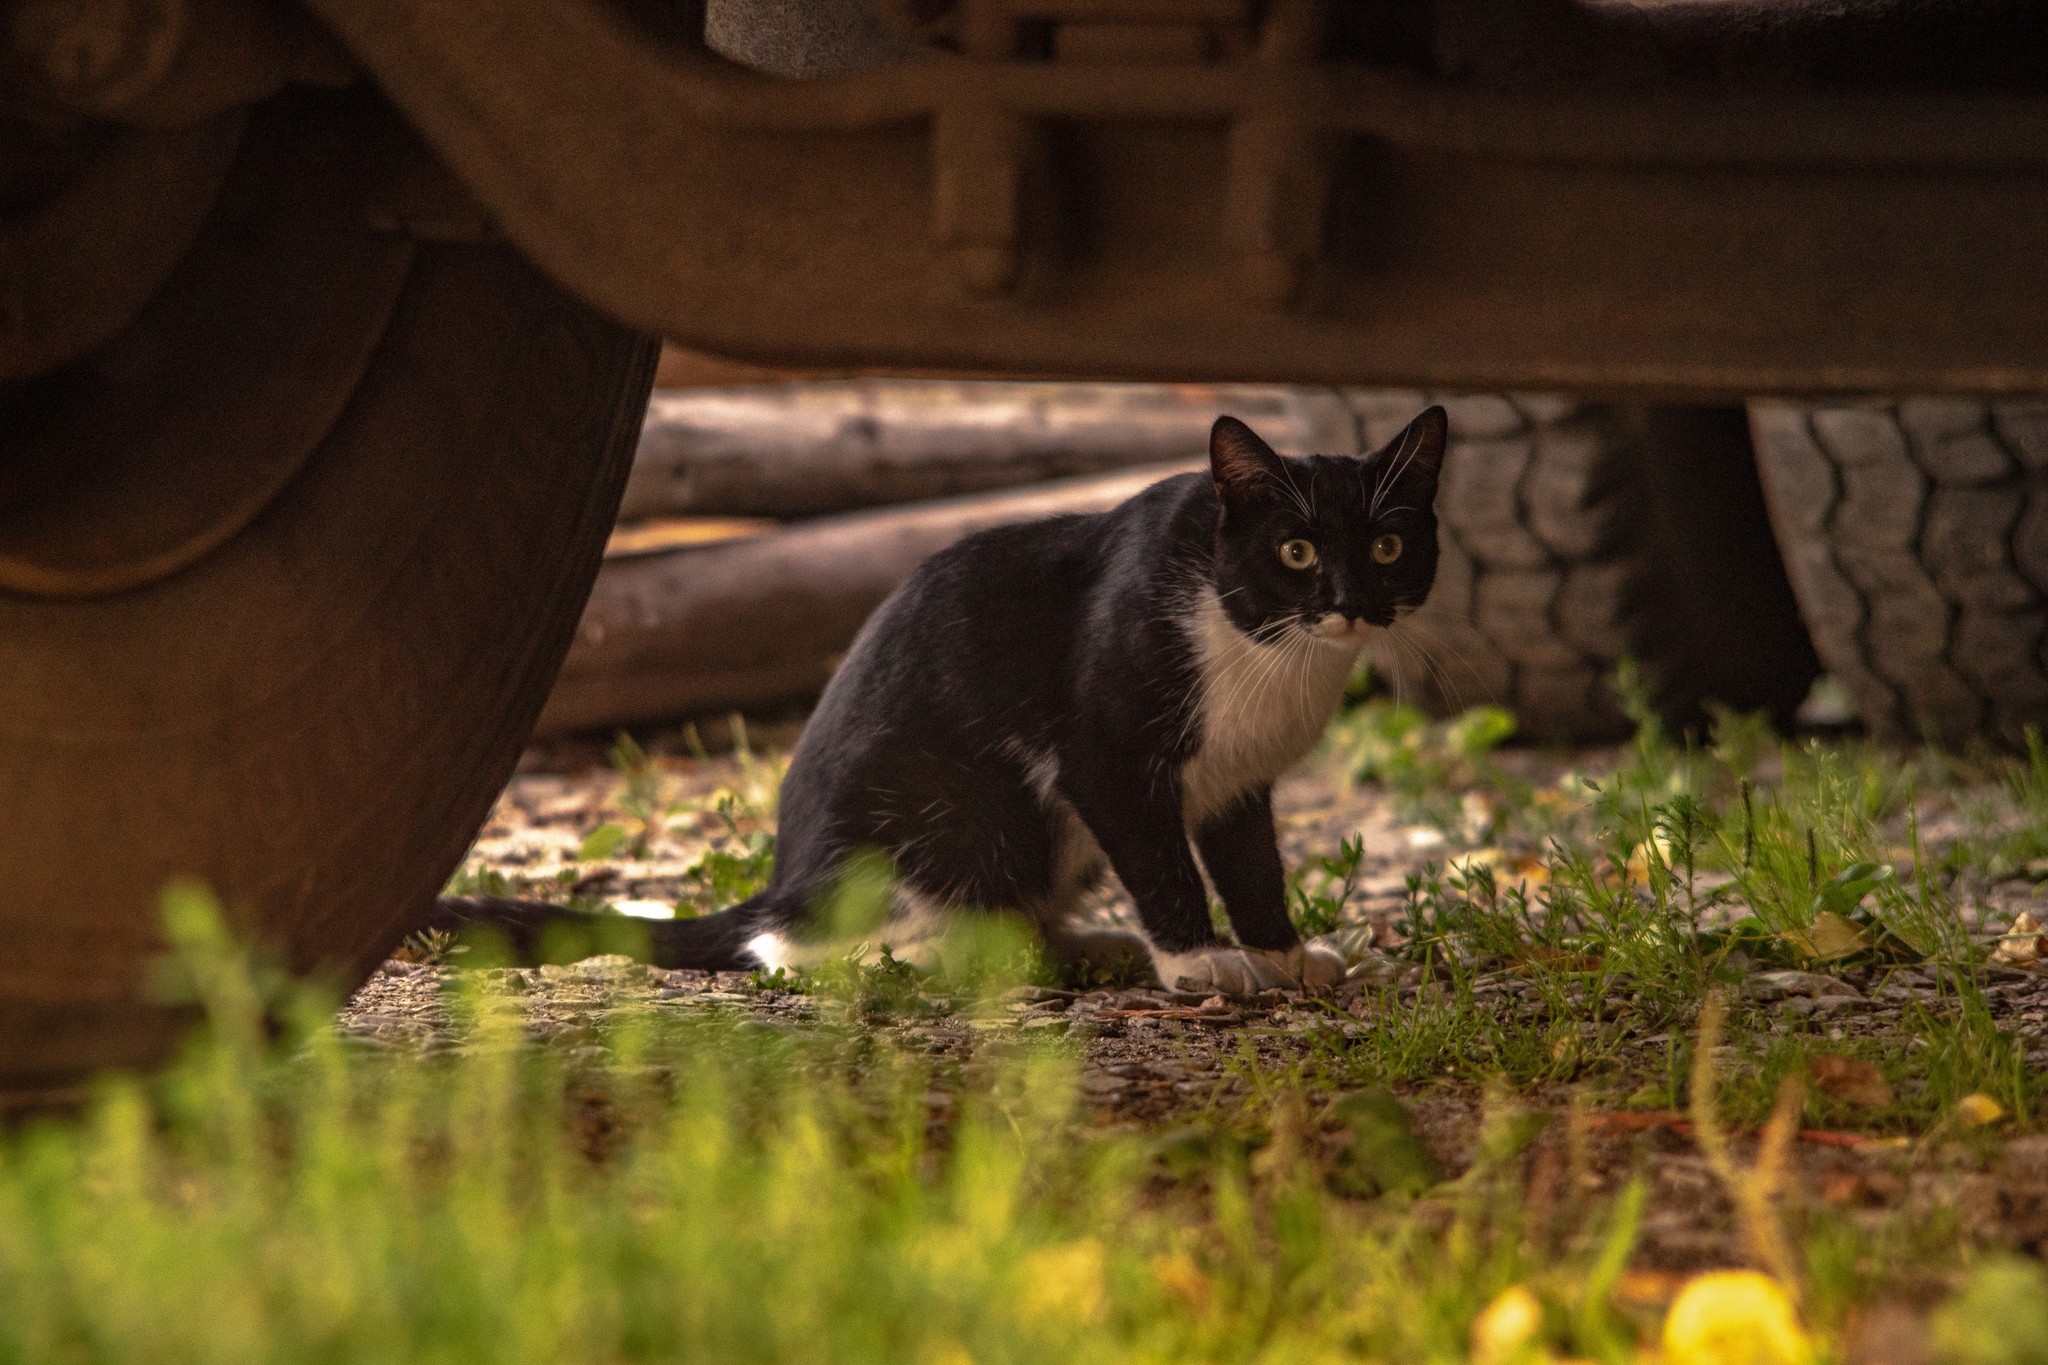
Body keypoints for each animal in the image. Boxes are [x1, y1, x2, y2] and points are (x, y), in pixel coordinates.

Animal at [440, 405, 1449, 994]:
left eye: (1389, 546)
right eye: (1296, 551)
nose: (1350, 601)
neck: (1263, 644)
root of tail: (783, 881)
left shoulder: (1239, 780)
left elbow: (1252, 862)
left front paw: (1281, 954)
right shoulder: (1106, 752)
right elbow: (1162, 857)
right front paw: (1200, 962)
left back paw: (1079, 943)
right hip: (969, 812)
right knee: (795, 946)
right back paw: (960, 952)